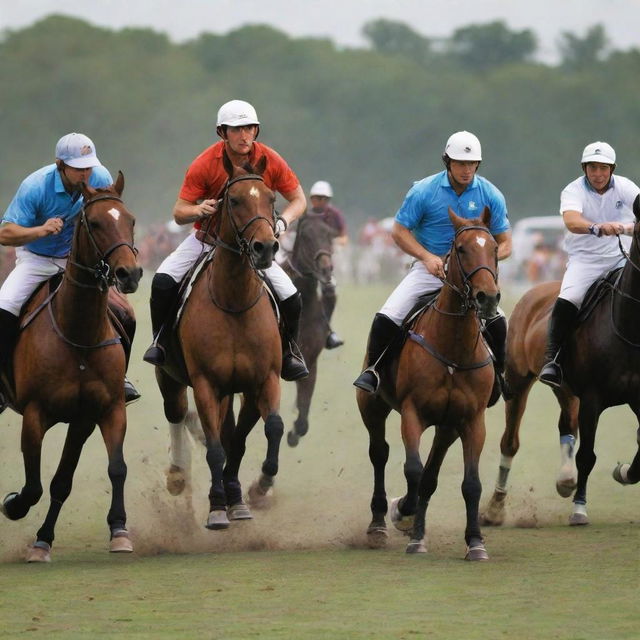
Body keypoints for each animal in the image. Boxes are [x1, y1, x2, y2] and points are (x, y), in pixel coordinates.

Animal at [0, 174, 141, 560]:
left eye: (130, 220)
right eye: (94, 223)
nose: (130, 273)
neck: (77, 335)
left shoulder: (97, 413)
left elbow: (99, 472)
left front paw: (118, 531)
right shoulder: (35, 414)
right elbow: (33, 486)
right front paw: (13, 505)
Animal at [154, 154, 284, 528]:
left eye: (271, 197)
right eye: (235, 200)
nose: (265, 247)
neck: (234, 302)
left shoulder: (261, 381)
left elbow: (259, 433)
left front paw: (248, 493)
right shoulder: (206, 385)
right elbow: (215, 447)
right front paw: (216, 507)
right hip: (169, 377)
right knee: (176, 413)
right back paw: (178, 474)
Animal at [356, 209, 500, 560]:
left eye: (494, 248)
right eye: (461, 248)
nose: (487, 297)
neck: (453, 349)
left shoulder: (472, 420)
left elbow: (469, 483)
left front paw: (475, 542)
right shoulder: (413, 413)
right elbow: (413, 470)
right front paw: (404, 515)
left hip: (448, 427)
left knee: (432, 472)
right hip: (372, 405)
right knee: (379, 453)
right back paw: (379, 523)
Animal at [482, 194, 640, 524]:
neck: (628, 324)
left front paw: (622, 472)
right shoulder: (592, 398)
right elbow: (588, 455)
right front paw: (580, 509)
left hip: (565, 389)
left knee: (566, 425)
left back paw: (565, 479)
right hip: (519, 381)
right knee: (510, 441)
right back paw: (494, 508)